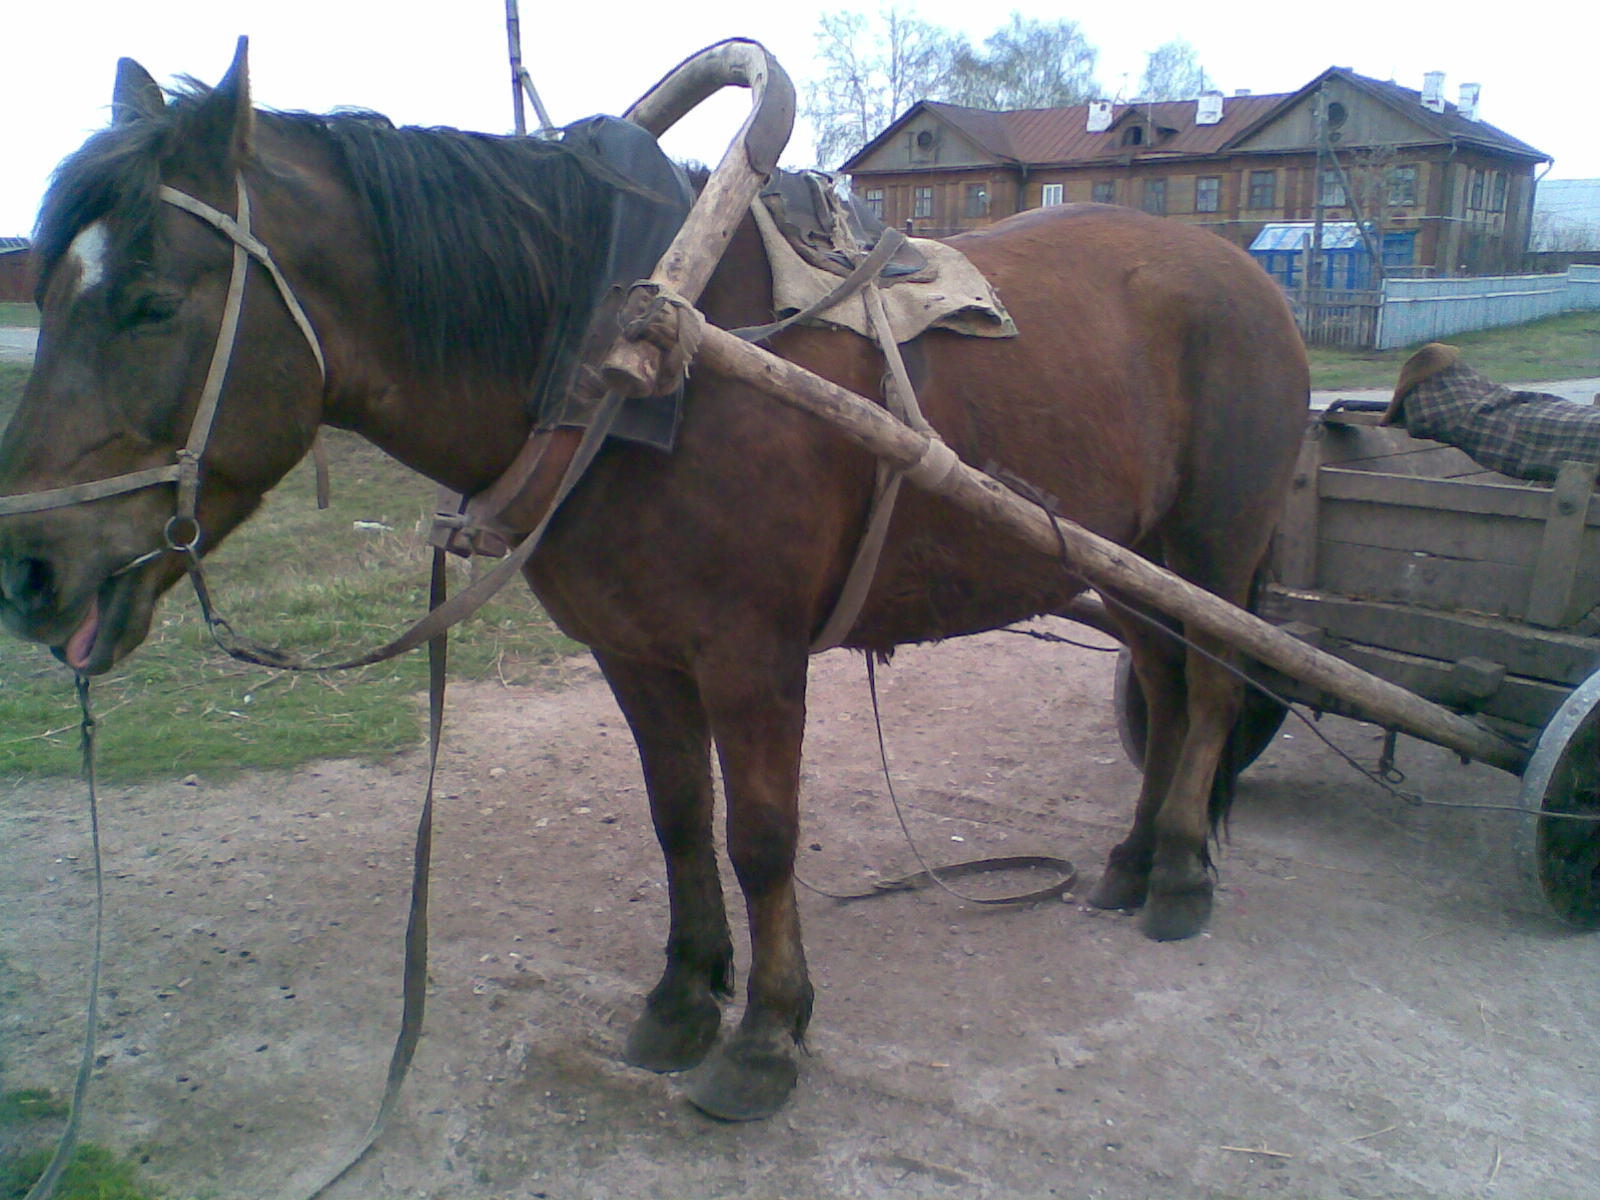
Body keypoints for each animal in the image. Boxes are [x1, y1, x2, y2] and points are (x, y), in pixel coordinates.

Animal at [0, 44, 1312, 1120]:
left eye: (150, 302)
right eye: (46, 291)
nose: (26, 570)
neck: (619, 361)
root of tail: (1248, 279)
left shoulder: (753, 661)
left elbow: (762, 839)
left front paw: (769, 1036)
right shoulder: (636, 655)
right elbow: (680, 820)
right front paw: (685, 999)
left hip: (1207, 548)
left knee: (1209, 692)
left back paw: (1180, 874)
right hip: (1125, 558)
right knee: (1164, 680)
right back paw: (1134, 860)